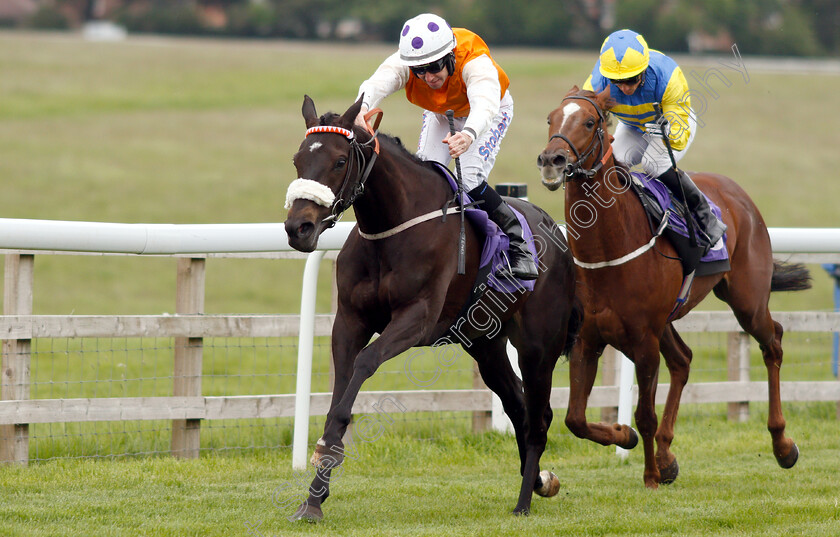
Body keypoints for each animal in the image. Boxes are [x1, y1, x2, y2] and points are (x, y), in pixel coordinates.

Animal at [286, 94, 580, 516]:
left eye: (340, 161)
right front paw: (315, 496)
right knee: (519, 406)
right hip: (485, 344)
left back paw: (524, 501)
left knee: (539, 418)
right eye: (297, 160)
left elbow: (364, 364)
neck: (390, 231)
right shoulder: (349, 320)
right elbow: (340, 387)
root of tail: (556, 231)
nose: (299, 228)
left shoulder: (417, 317)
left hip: (539, 347)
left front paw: (325, 462)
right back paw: (539, 480)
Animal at [536, 87, 812, 490]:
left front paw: (650, 474)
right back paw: (667, 455)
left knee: (772, 342)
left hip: (746, 301)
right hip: (665, 322)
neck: (607, 253)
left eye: (589, 121)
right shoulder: (589, 339)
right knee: (683, 360)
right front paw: (626, 438)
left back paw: (782, 445)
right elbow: (575, 419)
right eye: (550, 118)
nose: (551, 160)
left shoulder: (643, 340)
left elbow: (644, 414)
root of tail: (736, 192)